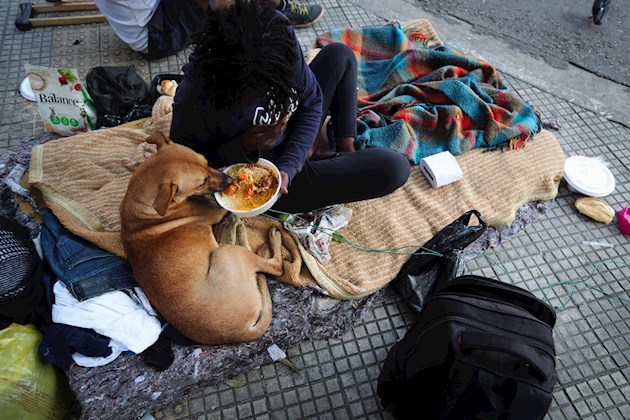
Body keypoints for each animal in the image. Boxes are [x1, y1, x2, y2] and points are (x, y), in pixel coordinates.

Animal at [121, 131, 284, 344]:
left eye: (207, 162)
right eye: (201, 182)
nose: (230, 181)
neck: (142, 208)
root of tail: (240, 332)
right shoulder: (214, 211)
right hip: (227, 254)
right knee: (274, 266)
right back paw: (264, 237)